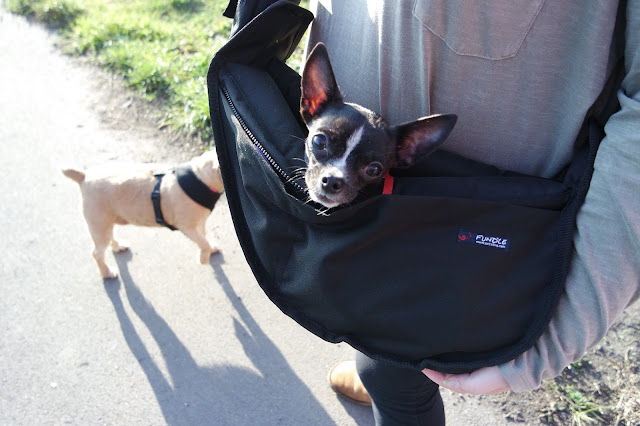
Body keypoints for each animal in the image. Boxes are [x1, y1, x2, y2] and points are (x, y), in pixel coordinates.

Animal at [62, 150, 222, 280]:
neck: (200, 178)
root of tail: (84, 177)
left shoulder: (200, 222)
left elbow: (204, 236)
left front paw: (210, 249)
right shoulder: (187, 227)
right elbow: (203, 242)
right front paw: (203, 258)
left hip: (107, 222)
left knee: (110, 237)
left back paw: (118, 246)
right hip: (100, 225)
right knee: (97, 253)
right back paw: (106, 273)